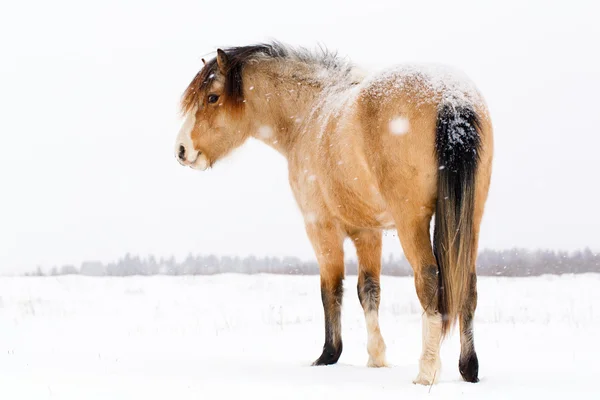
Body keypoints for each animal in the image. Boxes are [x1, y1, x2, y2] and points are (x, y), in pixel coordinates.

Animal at [173, 41, 492, 384]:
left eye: (212, 97)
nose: (181, 150)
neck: (309, 114)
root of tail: (451, 97)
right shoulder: (368, 231)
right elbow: (369, 290)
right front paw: (376, 358)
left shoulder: (320, 226)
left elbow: (331, 290)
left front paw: (328, 355)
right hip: (471, 219)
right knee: (468, 285)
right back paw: (469, 368)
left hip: (412, 222)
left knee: (429, 279)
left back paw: (427, 370)